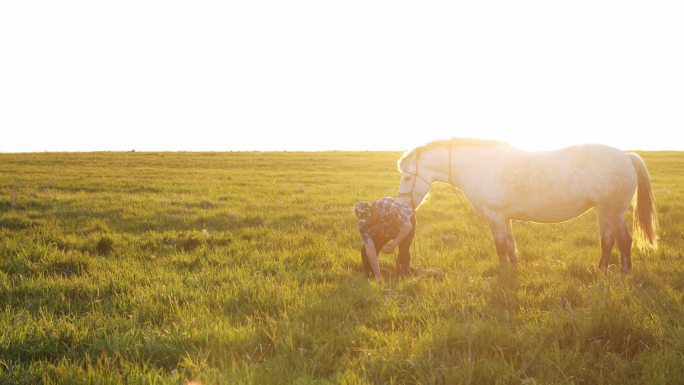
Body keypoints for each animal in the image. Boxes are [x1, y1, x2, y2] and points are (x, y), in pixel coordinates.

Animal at [396, 137, 656, 270]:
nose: (403, 205)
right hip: (608, 212)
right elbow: (511, 247)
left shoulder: (496, 217)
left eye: (407, 177)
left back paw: (615, 273)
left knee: (620, 241)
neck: (479, 166)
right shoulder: (505, 218)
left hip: (611, 211)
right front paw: (514, 269)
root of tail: (627, 156)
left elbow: (501, 248)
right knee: (613, 241)